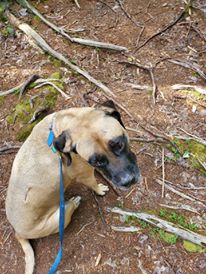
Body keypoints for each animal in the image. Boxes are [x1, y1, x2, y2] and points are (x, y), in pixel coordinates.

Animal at [5, 100, 140, 274]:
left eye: (119, 144)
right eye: (97, 161)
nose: (128, 181)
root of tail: (18, 232)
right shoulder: (85, 174)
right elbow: (93, 183)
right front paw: (100, 189)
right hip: (59, 218)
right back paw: (74, 202)